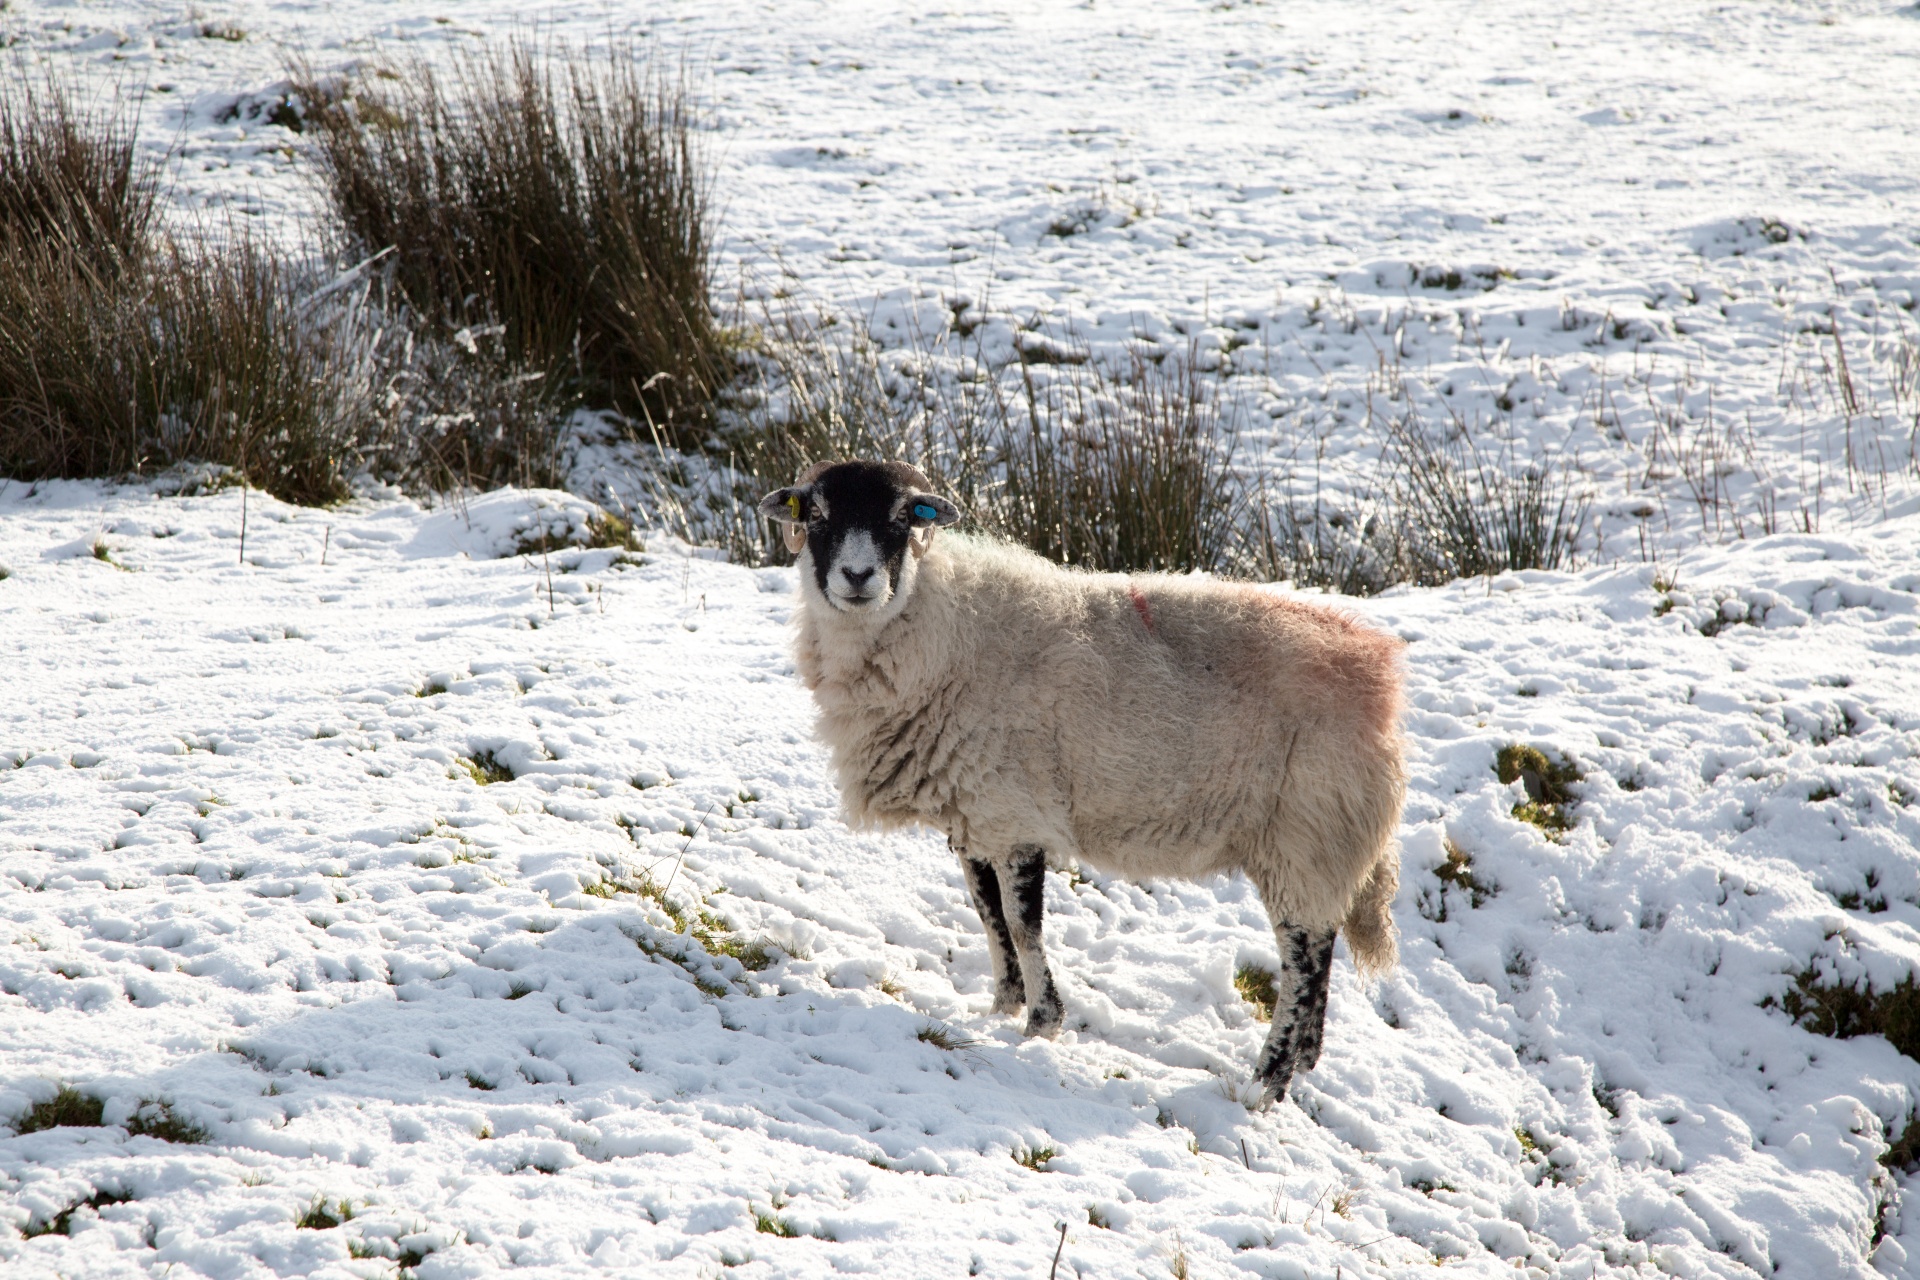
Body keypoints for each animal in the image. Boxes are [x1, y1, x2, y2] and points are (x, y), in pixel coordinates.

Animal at [764, 458, 1413, 1105]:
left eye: (903, 518)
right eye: (816, 514)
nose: (857, 576)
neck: (943, 629)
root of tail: (1378, 671)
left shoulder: (1015, 812)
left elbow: (1022, 925)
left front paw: (1040, 1024)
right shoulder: (974, 813)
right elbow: (987, 914)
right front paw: (1000, 1009)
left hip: (1306, 833)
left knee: (1302, 962)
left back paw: (1266, 1083)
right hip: (1319, 844)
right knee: (1323, 945)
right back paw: (1304, 1061)